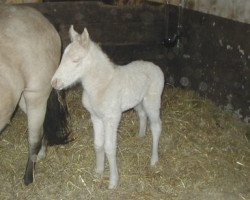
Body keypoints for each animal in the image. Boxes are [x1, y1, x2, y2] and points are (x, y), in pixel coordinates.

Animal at [51, 25, 165, 189]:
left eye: (76, 60)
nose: (54, 82)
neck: (101, 86)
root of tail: (155, 66)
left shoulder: (112, 118)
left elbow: (109, 148)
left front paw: (113, 181)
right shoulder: (96, 117)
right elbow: (98, 145)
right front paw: (98, 171)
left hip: (153, 101)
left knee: (156, 126)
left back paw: (154, 160)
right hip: (138, 101)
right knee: (142, 115)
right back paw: (141, 136)